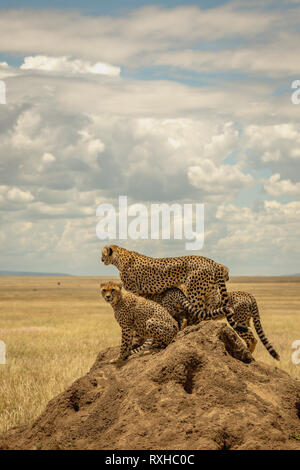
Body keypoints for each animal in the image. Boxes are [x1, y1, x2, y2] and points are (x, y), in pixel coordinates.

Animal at [102, 246, 247, 334]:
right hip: (209, 292)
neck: (120, 258)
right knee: (208, 311)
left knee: (199, 312)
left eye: (103, 254)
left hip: (194, 291)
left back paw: (192, 329)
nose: (101, 259)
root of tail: (211, 261)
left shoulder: (133, 289)